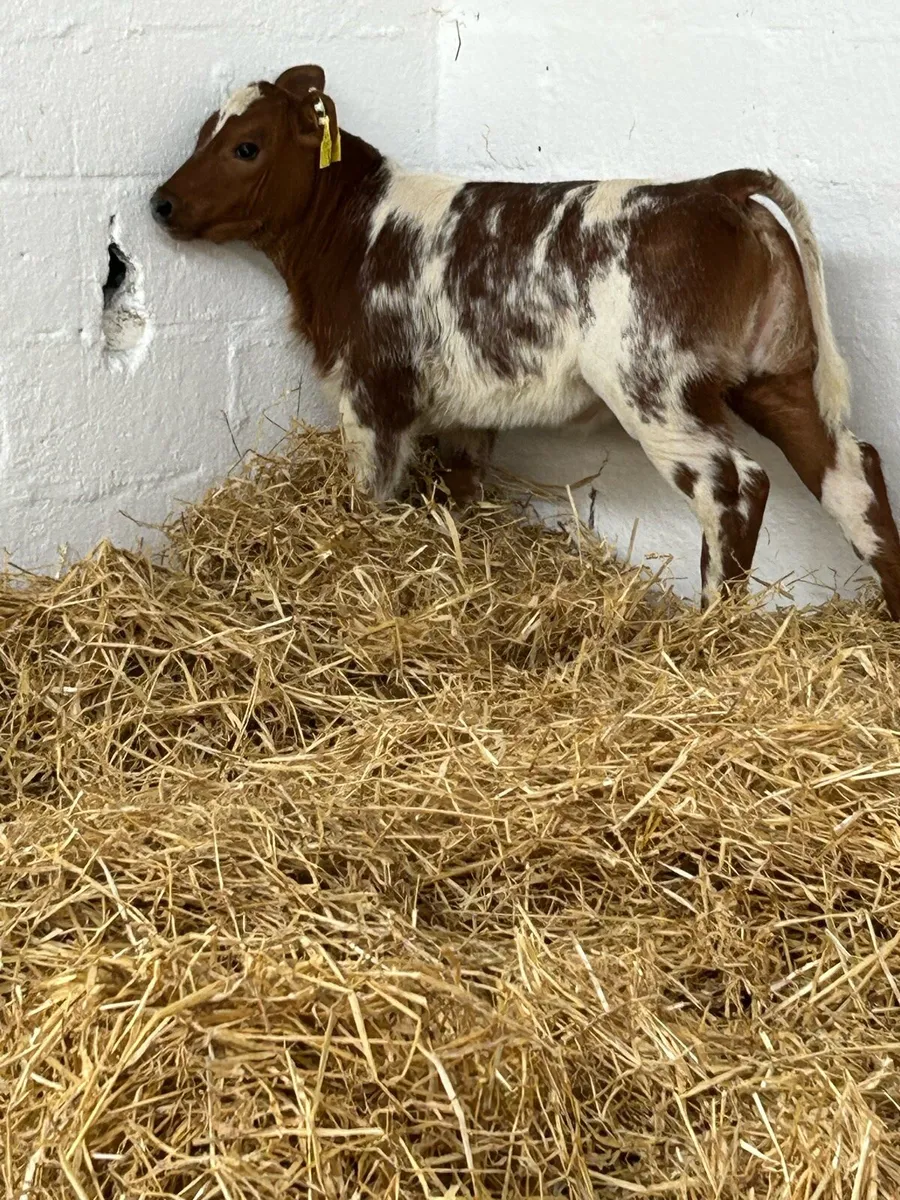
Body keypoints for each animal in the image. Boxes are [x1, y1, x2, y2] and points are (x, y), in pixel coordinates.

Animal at [152, 64, 900, 619]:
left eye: (246, 146)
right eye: (202, 133)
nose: (161, 203)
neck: (355, 232)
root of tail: (715, 186)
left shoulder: (373, 391)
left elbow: (373, 494)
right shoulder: (466, 410)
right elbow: (458, 490)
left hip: (654, 389)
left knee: (736, 485)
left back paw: (712, 629)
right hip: (779, 376)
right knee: (849, 469)